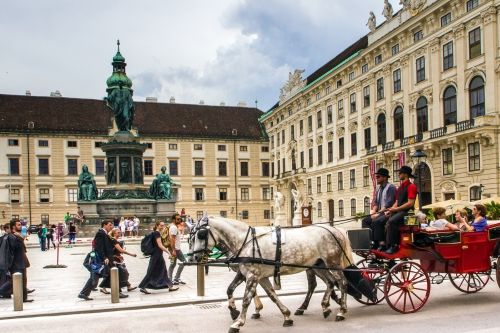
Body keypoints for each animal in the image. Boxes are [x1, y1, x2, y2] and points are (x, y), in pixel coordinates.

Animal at [189, 214, 354, 330]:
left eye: (201, 234)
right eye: (190, 238)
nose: (194, 257)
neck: (245, 241)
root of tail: (334, 229)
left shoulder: (253, 275)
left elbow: (246, 299)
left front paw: (239, 322)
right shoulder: (251, 275)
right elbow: (268, 294)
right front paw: (286, 316)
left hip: (332, 263)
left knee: (342, 282)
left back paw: (341, 310)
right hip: (318, 265)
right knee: (329, 282)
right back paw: (324, 306)